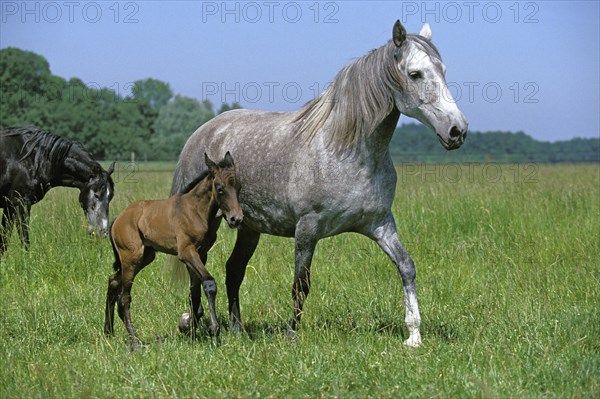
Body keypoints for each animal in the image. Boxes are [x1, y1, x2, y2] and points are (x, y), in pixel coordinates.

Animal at [0, 126, 115, 255]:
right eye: (96, 195)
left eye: (110, 197)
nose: (103, 232)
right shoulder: (21, 203)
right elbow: (24, 238)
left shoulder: (9, 206)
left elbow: (4, 239)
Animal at [171, 21, 466, 346]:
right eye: (415, 74)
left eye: (443, 70)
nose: (457, 130)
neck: (347, 152)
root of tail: (201, 134)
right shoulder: (307, 228)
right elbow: (301, 284)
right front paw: (292, 334)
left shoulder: (381, 224)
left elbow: (406, 267)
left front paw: (413, 335)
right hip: (209, 225)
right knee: (197, 267)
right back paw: (192, 324)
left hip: (248, 227)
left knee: (233, 270)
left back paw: (237, 329)